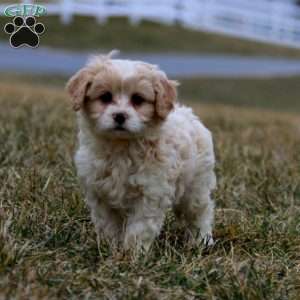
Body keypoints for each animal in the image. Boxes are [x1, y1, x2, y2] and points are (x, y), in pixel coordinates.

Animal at [66, 52, 216, 253]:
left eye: (137, 99)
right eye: (105, 97)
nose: (120, 116)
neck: (121, 147)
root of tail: (189, 114)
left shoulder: (150, 193)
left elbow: (140, 227)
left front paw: (132, 253)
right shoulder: (100, 193)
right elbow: (108, 224)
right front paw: (110, 247)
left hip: (196, 186)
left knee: (200, 212)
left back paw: (202, 240)